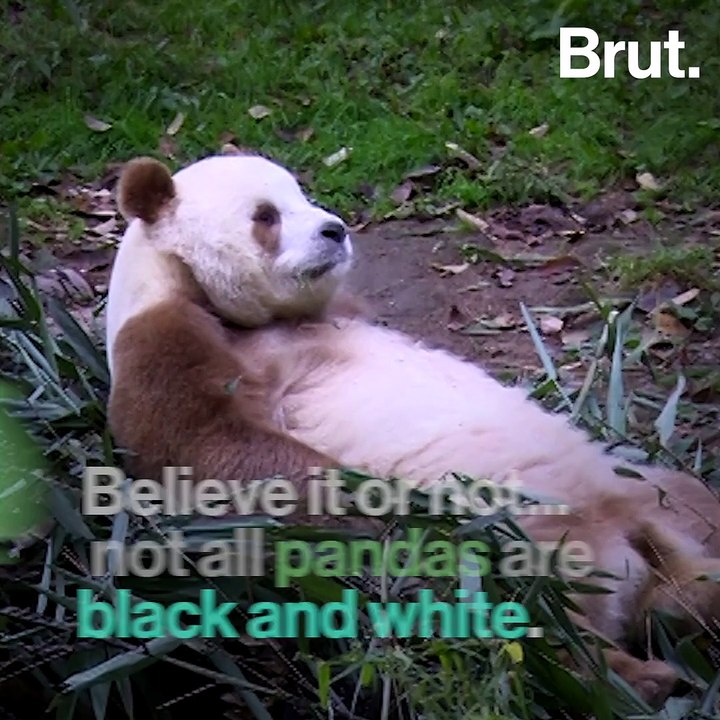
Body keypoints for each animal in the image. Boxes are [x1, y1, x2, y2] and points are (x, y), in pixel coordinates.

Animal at [105, 149, 720, 704]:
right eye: (266, 215)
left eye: (302, 195)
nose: (334, 230)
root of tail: (630, 564)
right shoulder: (163, 340)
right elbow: (219, 453)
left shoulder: (345, 310)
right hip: (499, 563)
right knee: (514, 627)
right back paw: (636, 679)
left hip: (642, 490)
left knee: (690, 506)